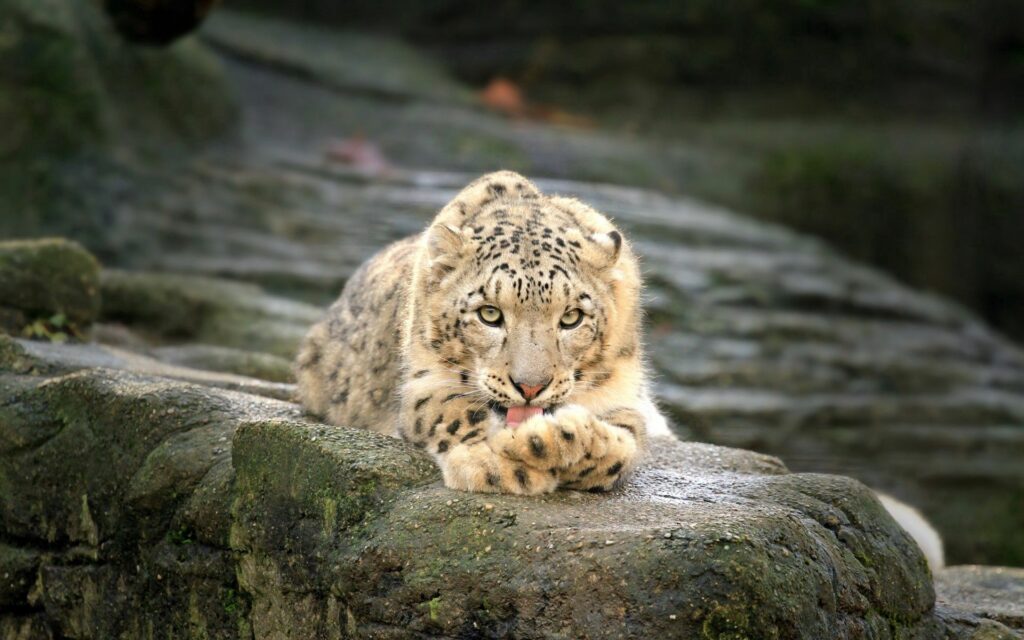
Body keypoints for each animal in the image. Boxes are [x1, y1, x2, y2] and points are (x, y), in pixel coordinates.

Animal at [294, 170, 670, 495]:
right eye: (489, 314)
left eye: (571, 317)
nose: (530, 387)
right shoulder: (422, 383)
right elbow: (452, 409)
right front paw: (494, 463)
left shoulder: (621, 394)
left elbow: (622, 445)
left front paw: (553, 440)